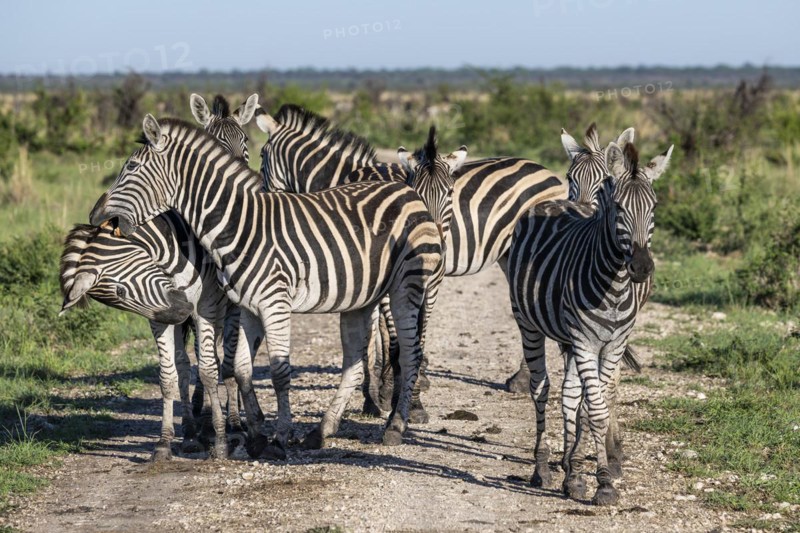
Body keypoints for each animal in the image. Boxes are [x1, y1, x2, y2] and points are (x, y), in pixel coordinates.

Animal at [89, 115, 447, 459]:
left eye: (131, 167)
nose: (94, 215)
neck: (238, 225)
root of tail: (408, 192)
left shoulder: (275, 303)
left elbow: (278, 371)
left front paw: (278, 439)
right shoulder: (247, 306)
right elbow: (241, 369)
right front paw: (256, 436)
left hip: (405, 287)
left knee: (410, 353)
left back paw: (395, 426)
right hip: (361, 297)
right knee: (354, 365)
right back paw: (322, 431)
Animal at [255, 104, 566, 419]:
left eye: (261, 156)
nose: (263, 198)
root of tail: (551, 175)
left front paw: (392, 391)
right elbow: (381, 334)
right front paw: (382, 391)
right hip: (507, 256)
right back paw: (522, 378)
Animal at [504, 140, 672, 505]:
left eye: (654, 207)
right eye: (619, 208)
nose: (641, 267)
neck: (615, 286)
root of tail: (553, 202)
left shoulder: (613, 344)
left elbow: (595, 401)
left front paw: (583, 471)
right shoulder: (584, 342)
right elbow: (594, 409)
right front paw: (604, 483)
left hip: (568, 338)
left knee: (569, 393)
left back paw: (570, 466)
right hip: (529, 324)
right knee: (541, 389)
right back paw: (542, 468)